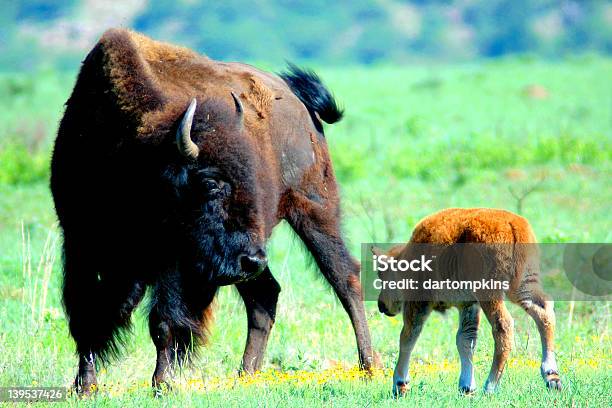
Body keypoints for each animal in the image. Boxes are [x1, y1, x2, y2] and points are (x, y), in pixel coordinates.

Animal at [50, 27, 372, 392]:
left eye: (249, 174)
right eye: (209, 183)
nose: (253, 259)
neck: (134, 156)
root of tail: (298, 101)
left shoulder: (171, 260)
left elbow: (163, 322)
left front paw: (162, 384)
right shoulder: (79, 243)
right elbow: (86, 315)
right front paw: (84, 386)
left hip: (314, 211)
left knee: (345, 277)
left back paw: (369, 366)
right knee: (265, 295)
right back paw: (246, 375)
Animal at [376, 209, 560, 394]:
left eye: (382, 275)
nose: (381, 305)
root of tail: (512, 223)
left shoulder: (419, 303)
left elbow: (408, 336)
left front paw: (400, 384)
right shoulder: (468, 304)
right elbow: (465, 339)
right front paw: (466, 387)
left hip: (490, 292)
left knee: (503, 325)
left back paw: (490, 386)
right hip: (524, 284)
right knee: (544, 311)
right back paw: (552, 377)